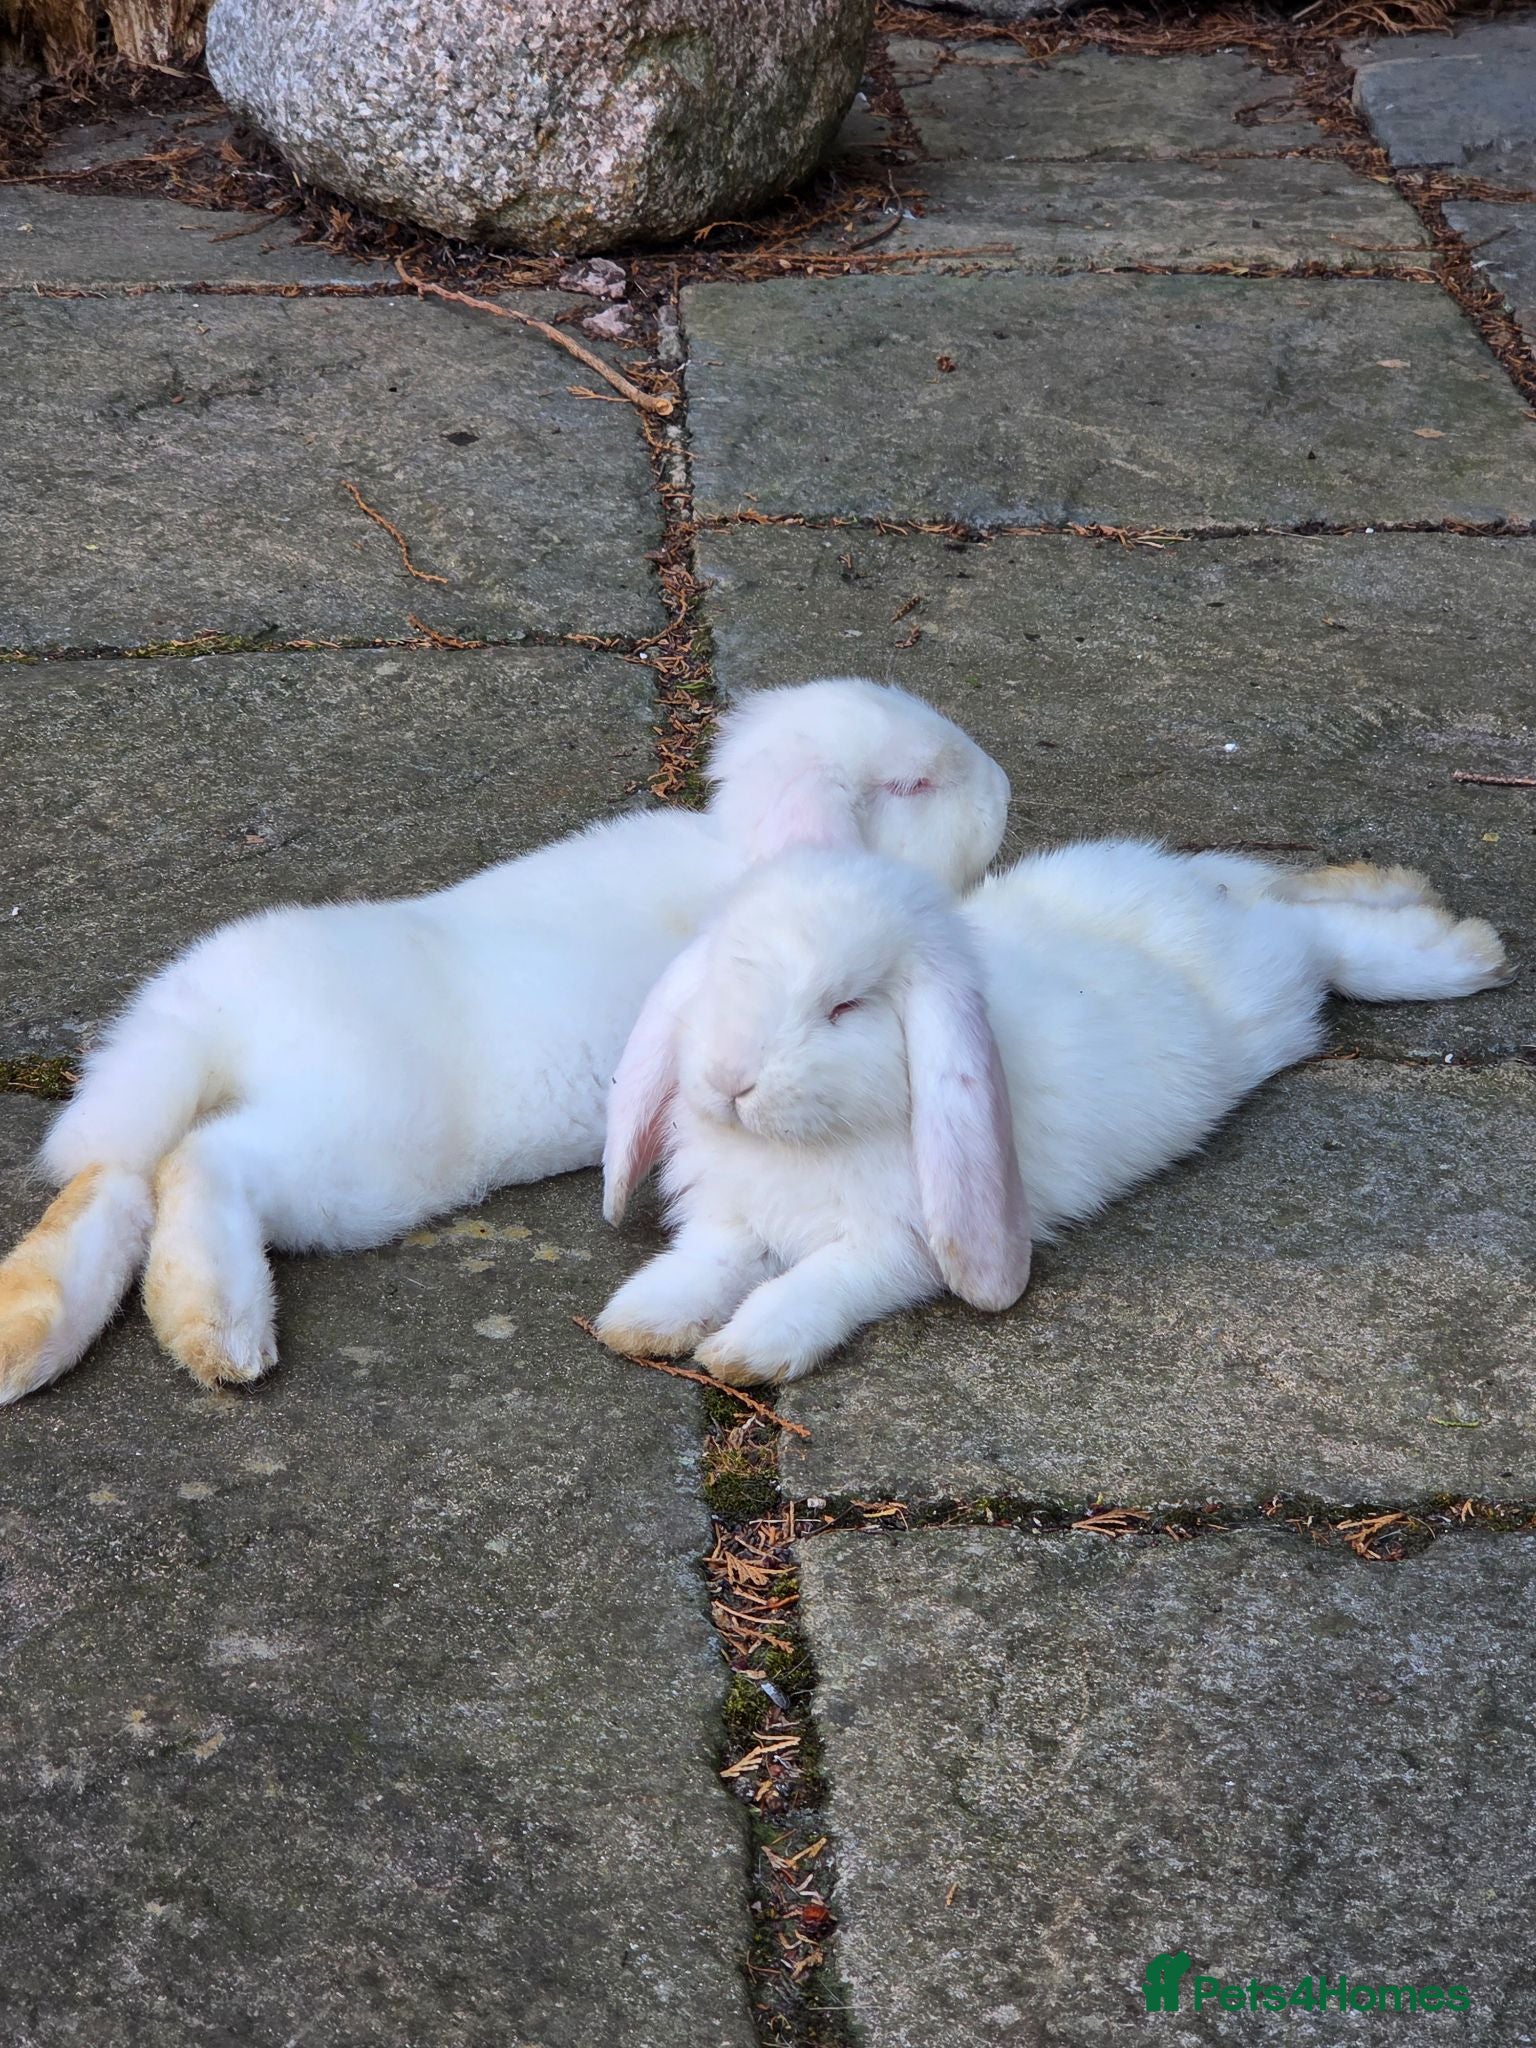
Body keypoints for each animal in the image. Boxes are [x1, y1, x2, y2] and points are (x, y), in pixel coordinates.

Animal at [0, 678, 1011, 1405]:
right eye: (913, 785)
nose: (1001, 788)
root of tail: (210, 1013)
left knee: (116, 1180)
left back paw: (33, 1343)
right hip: (353, 1155)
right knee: (199, 1164)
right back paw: (222, 1333)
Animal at [594, 839, 1510, 1386]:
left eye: (845, 1007)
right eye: (726, 971)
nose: (729, 1080)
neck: (804, 1145)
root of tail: (1192, 892)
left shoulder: (900, 1244)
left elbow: (821, 1283)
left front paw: (745, 1353)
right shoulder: (731, 1219)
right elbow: (704, 1265)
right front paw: (636, 1323)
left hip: (1272, 985)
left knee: (1320, 941)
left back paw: (1466, 951)